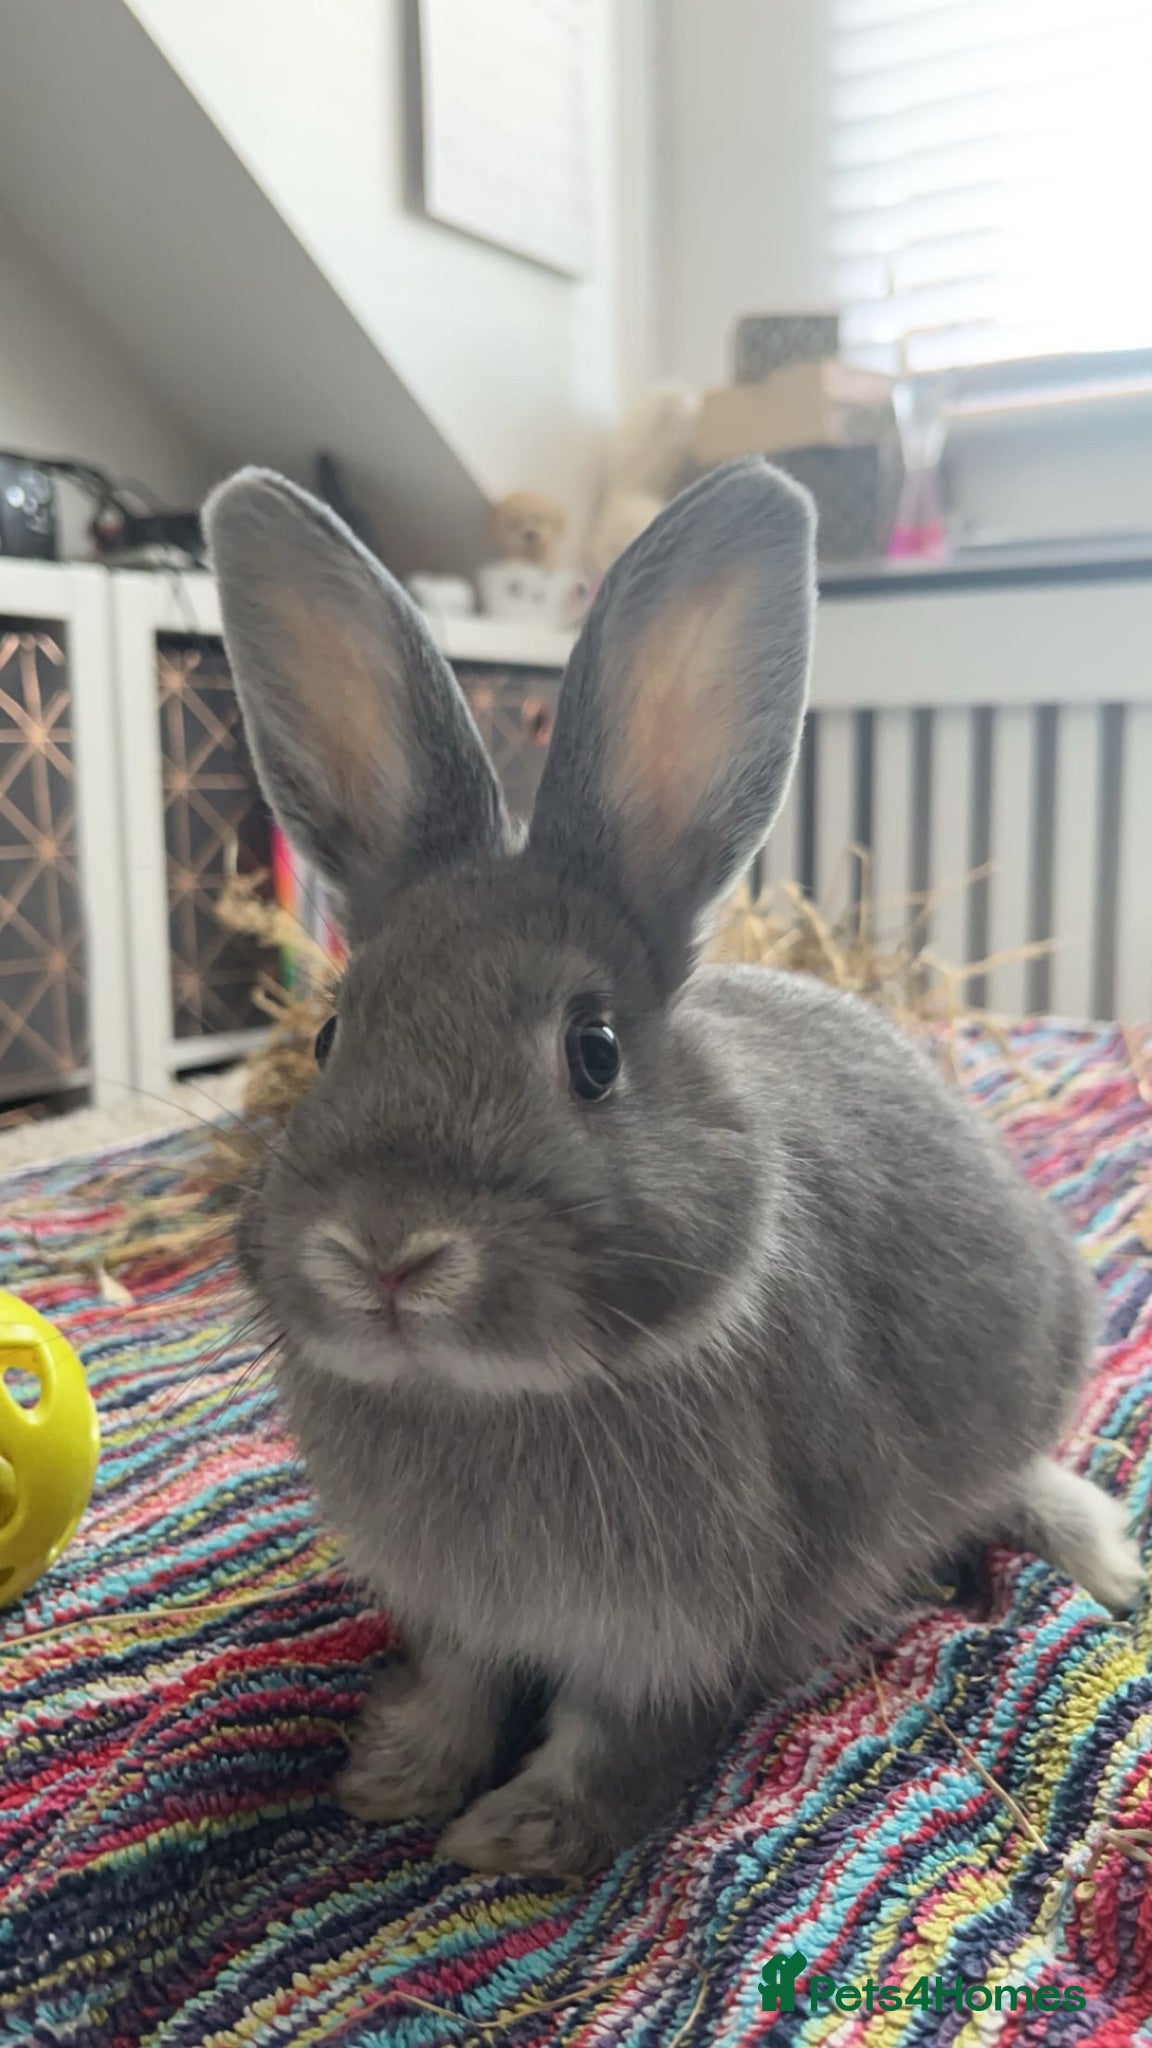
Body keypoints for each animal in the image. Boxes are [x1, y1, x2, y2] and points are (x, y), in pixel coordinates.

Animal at [203, 457, 1144, 1878]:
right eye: (330, 1036)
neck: (494, 1396)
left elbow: (615, 1740)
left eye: (593, 1052)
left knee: (1024, 1476)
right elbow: (462, 1684)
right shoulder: (461, 1613)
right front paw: (395, 1774)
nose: (386, 1250)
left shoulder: (680, 1632)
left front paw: (517, 1834)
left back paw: (1108, 1566)